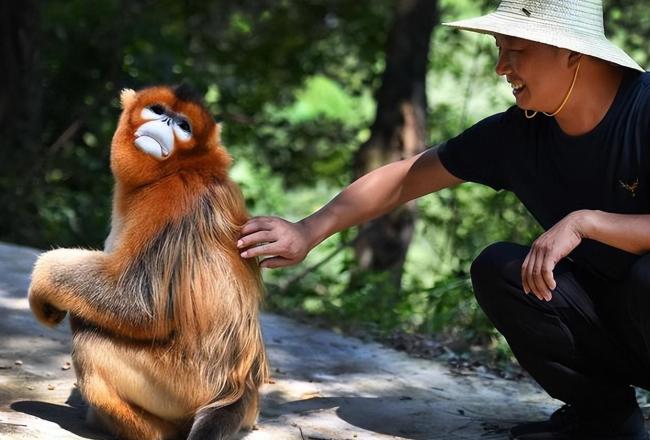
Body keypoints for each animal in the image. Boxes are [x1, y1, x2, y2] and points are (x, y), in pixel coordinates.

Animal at [27, 84, 266, 438]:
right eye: (158, 110)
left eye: (183, 126)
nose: (165, 123)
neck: (179, 168)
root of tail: (240, 390)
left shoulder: (172, 200)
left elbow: (140, 302)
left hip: (181, 383)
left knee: (90, 340)